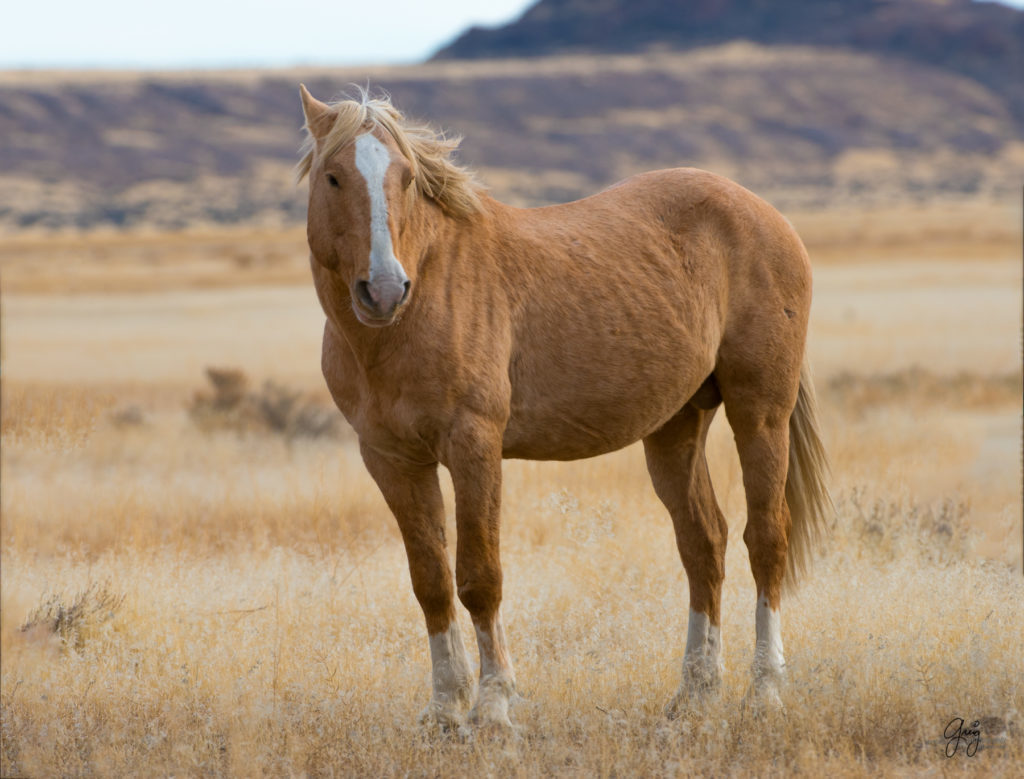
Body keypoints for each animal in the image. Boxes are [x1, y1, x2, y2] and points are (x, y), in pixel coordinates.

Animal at [294, 84, 831, 728]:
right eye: (332, 177)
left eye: (405, 178)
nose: (384, 289)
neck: (420, 304)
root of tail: (766, 213)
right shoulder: (392, 459)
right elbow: (430, 581)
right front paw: (446, 708)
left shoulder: (473, 446)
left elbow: (479, 577)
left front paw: (494, 706)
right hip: (677, 425)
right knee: (704, 544)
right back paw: (695, 694)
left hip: (761, 412)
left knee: (766, 539)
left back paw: (764, 691)